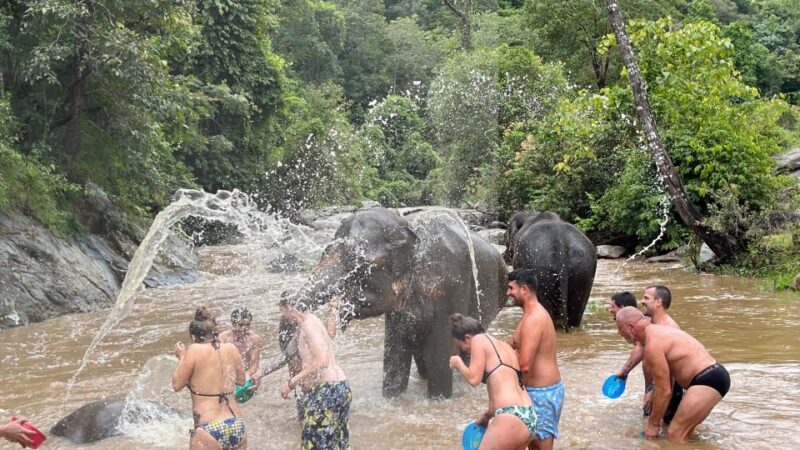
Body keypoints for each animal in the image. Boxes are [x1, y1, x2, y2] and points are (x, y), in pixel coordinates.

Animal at [292, 207, 508, 399]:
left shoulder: (451, 285)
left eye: (356, 262)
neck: (407, 226)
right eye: (323, 253)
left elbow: (438, 355)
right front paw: (392, 399)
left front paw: (439, 400)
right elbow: (395, 351)